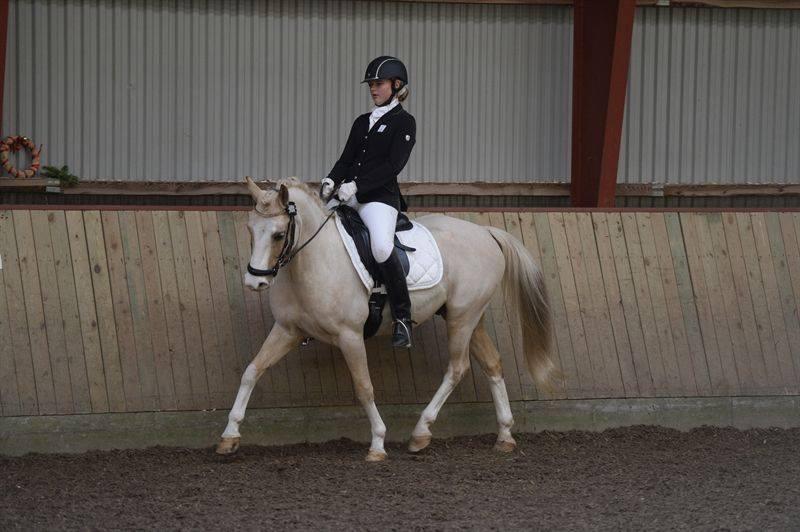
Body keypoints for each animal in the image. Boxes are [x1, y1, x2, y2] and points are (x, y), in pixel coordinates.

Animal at [216, 176, 554, 461]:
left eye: (278, 234)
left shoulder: (349, 336)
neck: (313, 261)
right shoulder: (287, 330)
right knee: (492, 364)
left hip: (462, 318)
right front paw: (229, 436)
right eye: (249, 229)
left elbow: (364, 387)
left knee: (457, 369)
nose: (255, 281)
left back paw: (421, 432)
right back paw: (505, 435)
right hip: (469, 317)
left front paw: (377, 443)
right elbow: (252, 371)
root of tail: (485, 232)